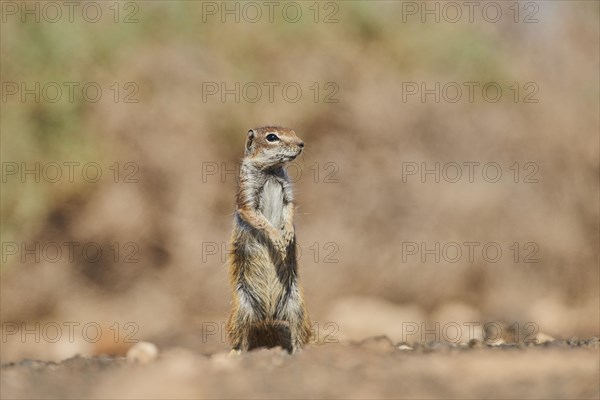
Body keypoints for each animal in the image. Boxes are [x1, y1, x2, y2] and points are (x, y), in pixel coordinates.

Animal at [224, 125, 310, 354]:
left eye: (293, 131)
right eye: (272, 137)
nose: (301, 143)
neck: (271, 172)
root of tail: (268, 317)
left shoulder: (288, 191)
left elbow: (289, 207)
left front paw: (288, 232)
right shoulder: (246, 194)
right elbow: (254, 215)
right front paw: (277, 237)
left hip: (296, 307)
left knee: (297, 331)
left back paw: (299, 352)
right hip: (242, 310)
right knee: (241, 338)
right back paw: (236, 354)